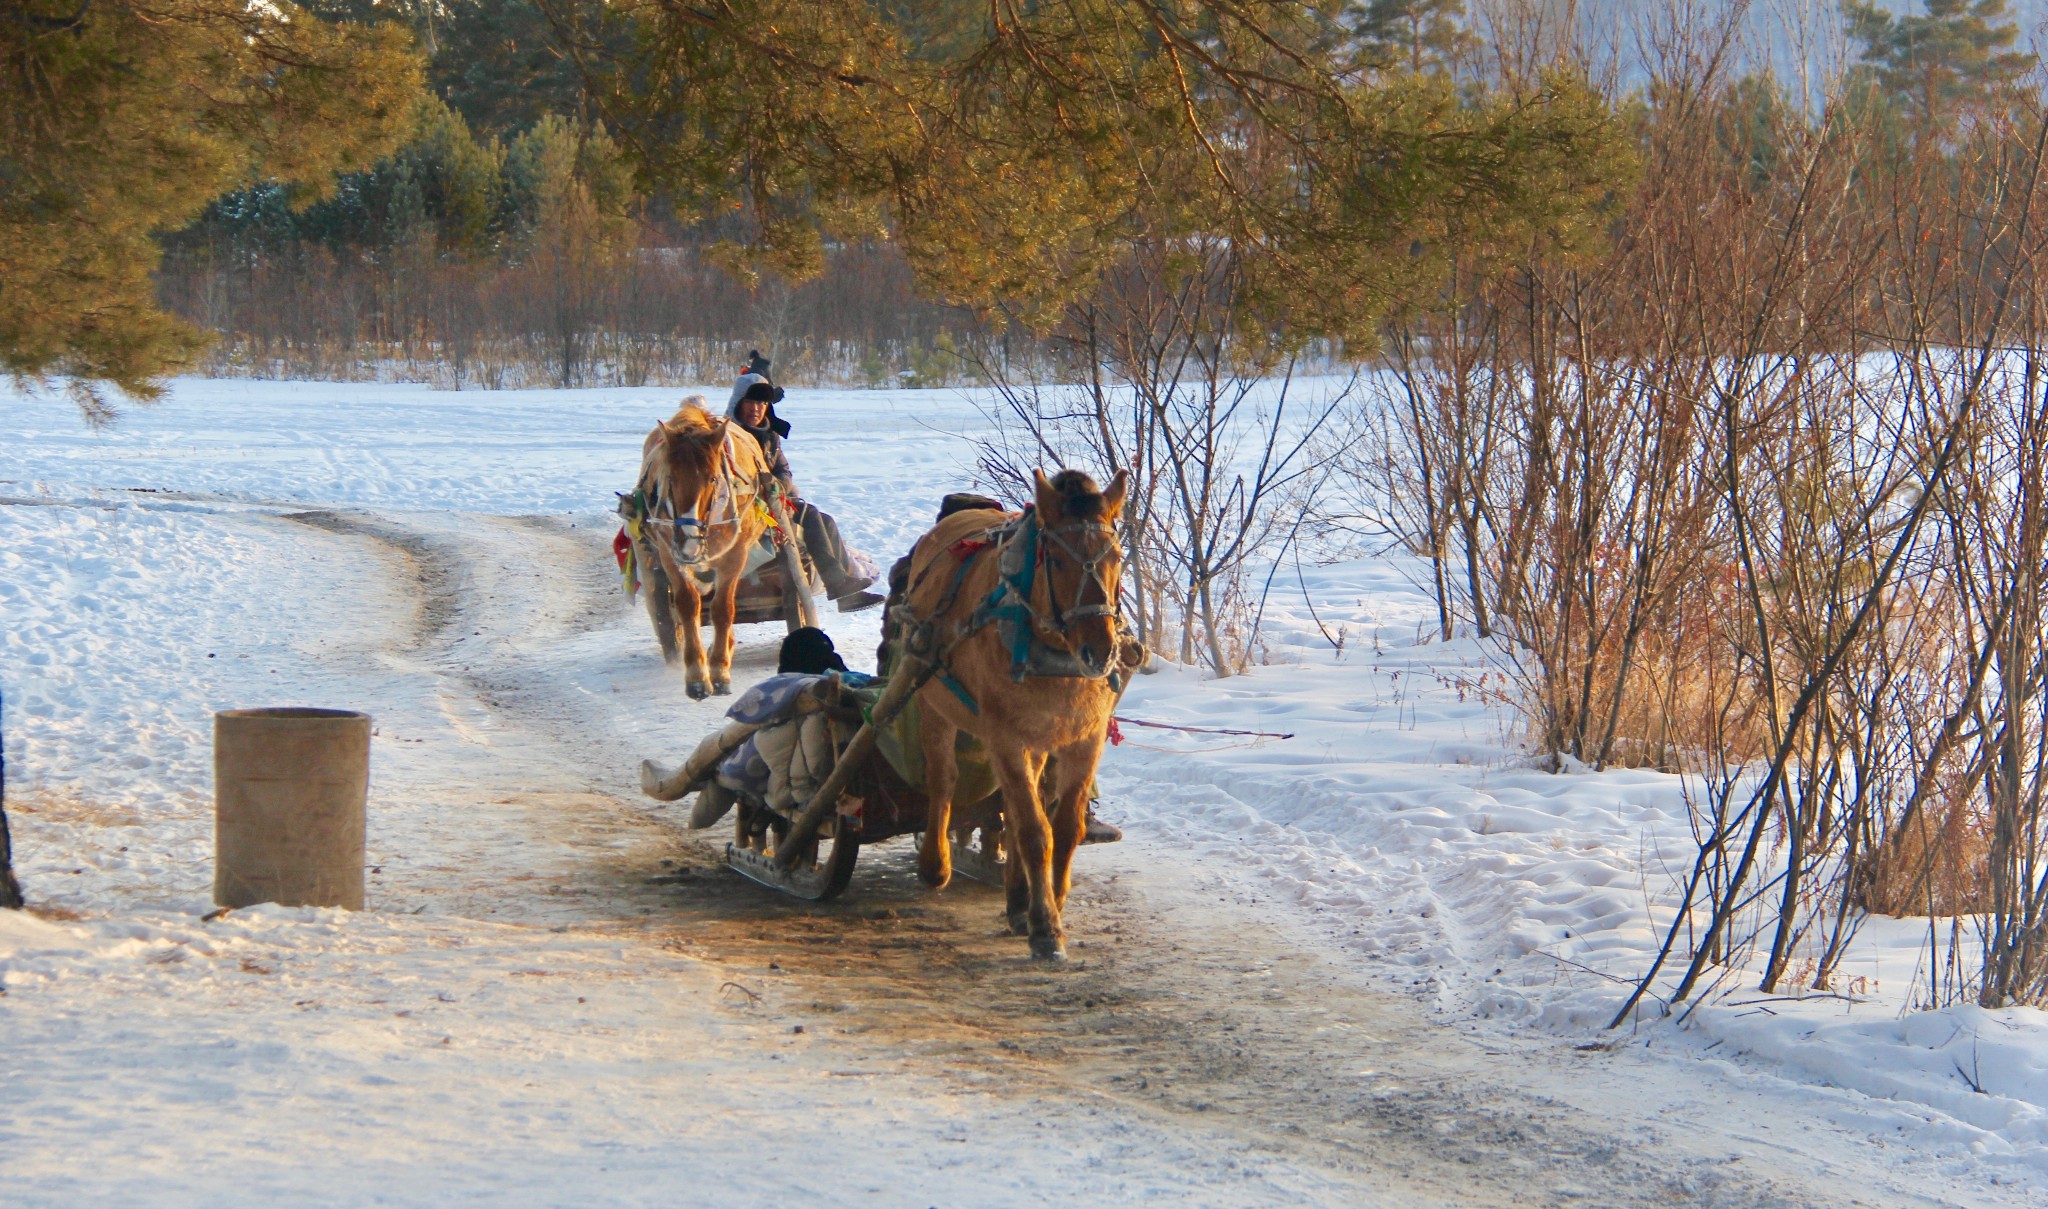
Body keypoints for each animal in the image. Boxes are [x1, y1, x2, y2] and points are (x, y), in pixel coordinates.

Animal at [634, 397, 770, 700]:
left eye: (712, 479)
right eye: (670, 478)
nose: (688, 537)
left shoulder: (735, 555)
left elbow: (723, 609)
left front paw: (719, 670)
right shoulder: (668, 552)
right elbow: (688, 605)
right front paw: (697, 675)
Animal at [897, 469, 1130, 963]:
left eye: (1117, 556)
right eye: (1056, 560)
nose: (1100, 651)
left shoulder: (1084, 738)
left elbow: (1065, 827)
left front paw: (1049, 900)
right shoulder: (1004, 736)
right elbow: (1034, 830)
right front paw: (1045, 927)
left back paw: (1018, 896)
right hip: (931, 695)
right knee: (943, 777)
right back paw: (937, 863)